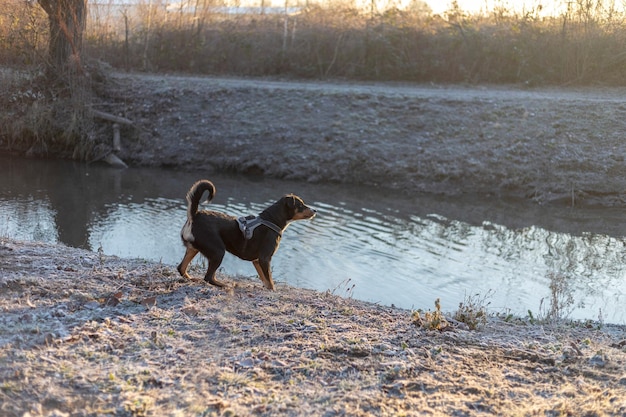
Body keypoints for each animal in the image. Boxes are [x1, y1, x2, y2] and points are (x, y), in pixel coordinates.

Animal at [176, 179, 314, 290]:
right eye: (301, 205)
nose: (315, 210)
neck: (271, 220)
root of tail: (194, 215)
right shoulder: (265, 258)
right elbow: (270, 280)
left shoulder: (257, 261)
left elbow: (265, 279)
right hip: (218, 251)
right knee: (208, 277)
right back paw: (224, 285)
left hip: (193, 249)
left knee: (181, 268)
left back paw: (191, 278)